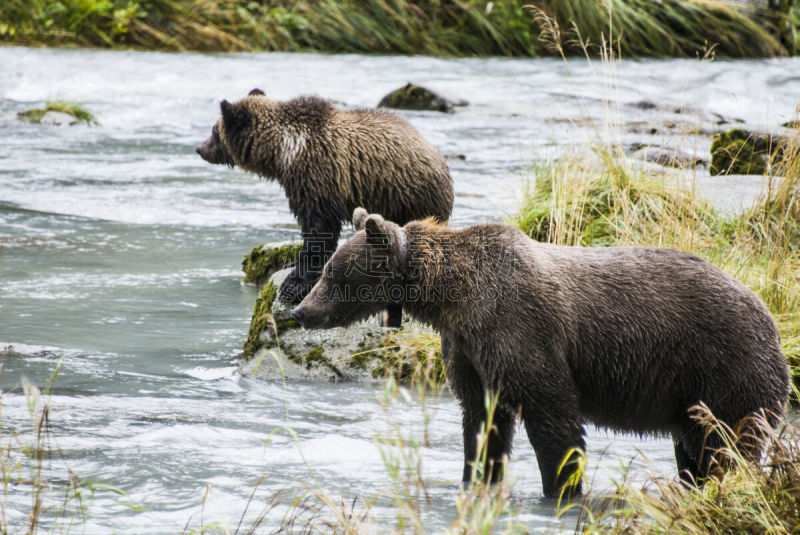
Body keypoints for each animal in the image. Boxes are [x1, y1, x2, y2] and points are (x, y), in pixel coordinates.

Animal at [196, 90, 454, 308]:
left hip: (406, 196)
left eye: (214, 131)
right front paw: (291, 265)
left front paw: (293, 285)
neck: (284, 153)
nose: (199, 148)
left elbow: (318, 228)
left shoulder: (317, 175)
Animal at [290, 208, 792, 498]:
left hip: (725, 365)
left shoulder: (521, 330)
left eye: (331, 272)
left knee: (729, 444)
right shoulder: (469, 348)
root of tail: (770, 317)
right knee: (694, 447)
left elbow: (553, 418)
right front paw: (477, 477)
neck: (451, 298)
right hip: (690, 393)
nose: (300, 310)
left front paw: (561, 488)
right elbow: (483, 421)